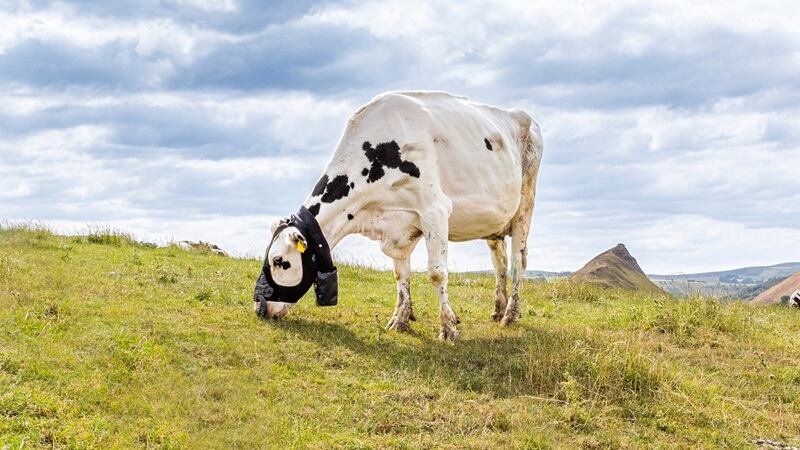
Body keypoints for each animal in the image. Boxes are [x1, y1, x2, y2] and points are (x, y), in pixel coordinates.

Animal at [254, 91, 543, 340]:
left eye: (279, 261)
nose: (259, 307)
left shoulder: (435, 210)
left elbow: (437, 273)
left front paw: (448, 327)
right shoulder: (397, 226)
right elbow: (400, 274)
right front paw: (400, 319)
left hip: (524, 206)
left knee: (518, 262)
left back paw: (510, 315)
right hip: (493, 220)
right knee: (499, 263)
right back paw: (497, 309)